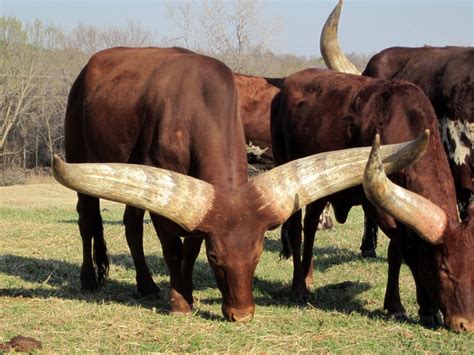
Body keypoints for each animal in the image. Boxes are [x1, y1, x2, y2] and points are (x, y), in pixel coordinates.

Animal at [270, 68, 474, 332]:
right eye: (443, 269)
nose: (465, 323)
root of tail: (287, 83)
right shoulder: (376, 207)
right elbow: (406, 248)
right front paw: (426, 309)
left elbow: (396, 252)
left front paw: (396, 305)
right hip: (289, 169)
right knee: (296, 229)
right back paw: (299, 287)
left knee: (312, 225)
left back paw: (308, 275)